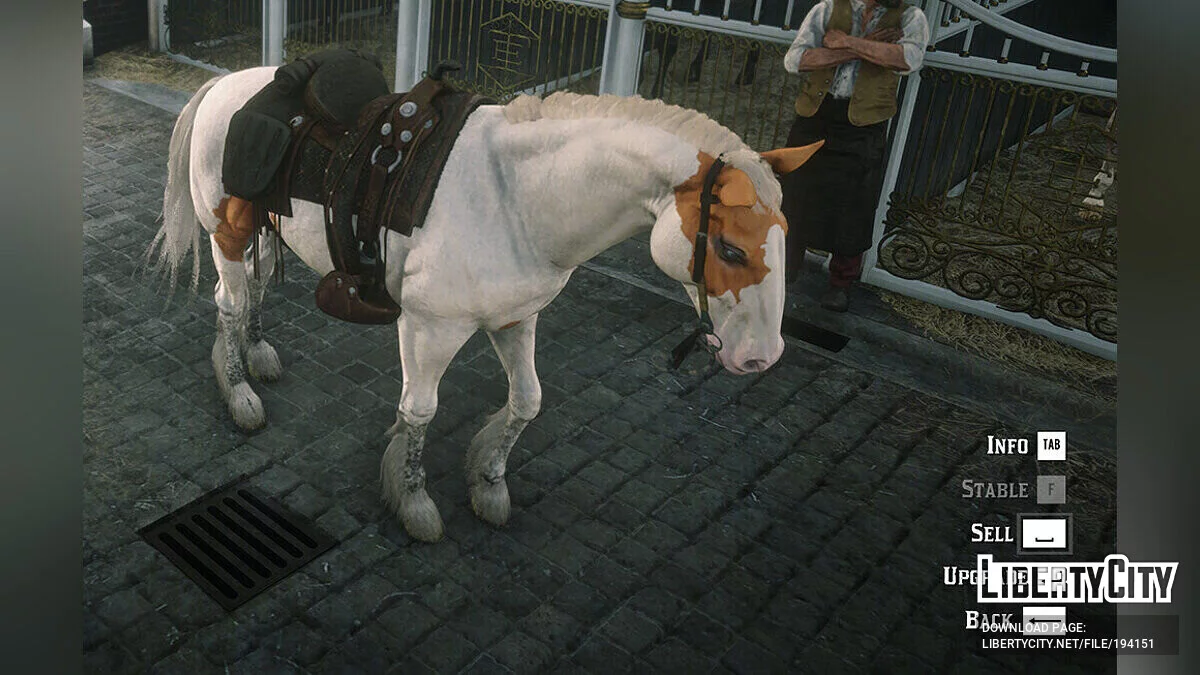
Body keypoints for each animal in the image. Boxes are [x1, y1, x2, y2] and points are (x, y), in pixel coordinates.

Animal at [148, 66, 823, 542]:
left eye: (789, 236)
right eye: (731, 249)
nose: (762, 357)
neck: (518, 196)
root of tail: (224, 85)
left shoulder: (517, 318)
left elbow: (528, 401)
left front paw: (489, 482)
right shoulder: (429, 328)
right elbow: (419, 410)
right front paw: (413, 499)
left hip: (263, 225)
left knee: (255, 287)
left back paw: (257, 352)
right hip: (226, 231)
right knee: (230, 299)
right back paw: (238, 389)